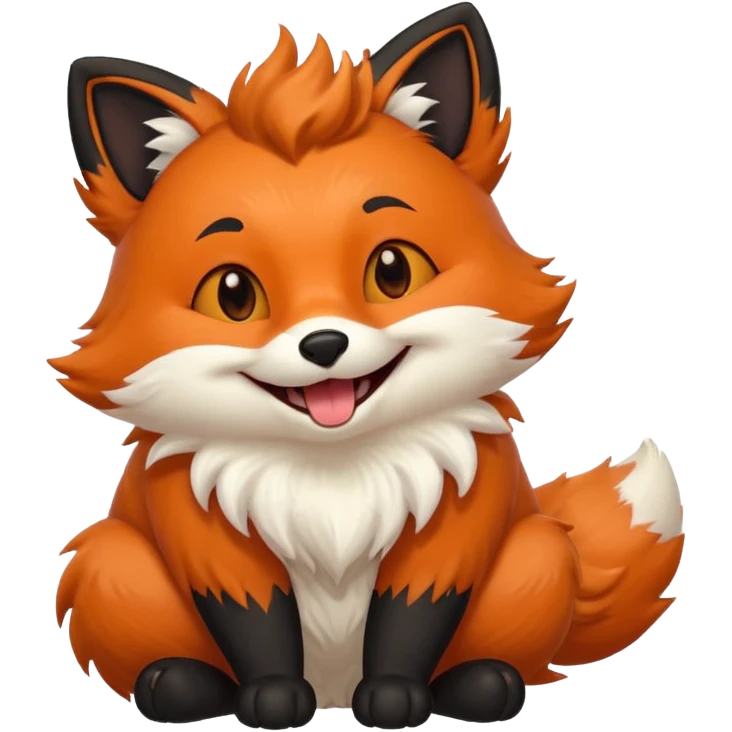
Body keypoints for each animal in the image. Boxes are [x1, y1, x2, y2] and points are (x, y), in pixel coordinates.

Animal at [53, 3, 685, 729]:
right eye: (234, 294)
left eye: (392, 271)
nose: (324, 344)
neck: (335, 475)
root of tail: (333, 688)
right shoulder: (203, 528)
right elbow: (257, 621)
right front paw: (272, 698)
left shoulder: (457, 515)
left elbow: (411, 616)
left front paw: (394, 698)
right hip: (111, 561)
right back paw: (180, 683)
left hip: (541, 551)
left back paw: (481, 683)